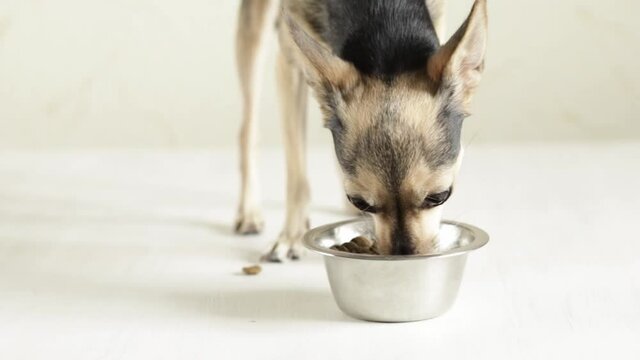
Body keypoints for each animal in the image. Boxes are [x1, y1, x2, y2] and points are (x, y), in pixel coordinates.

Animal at [232, 0, 488, 260]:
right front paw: (291, 235)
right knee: (247, 130)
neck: (384, 15)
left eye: (439, 197)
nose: (403, 256)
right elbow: (296, 173)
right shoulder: (290, 63)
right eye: (360, 201)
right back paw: (249, 212)